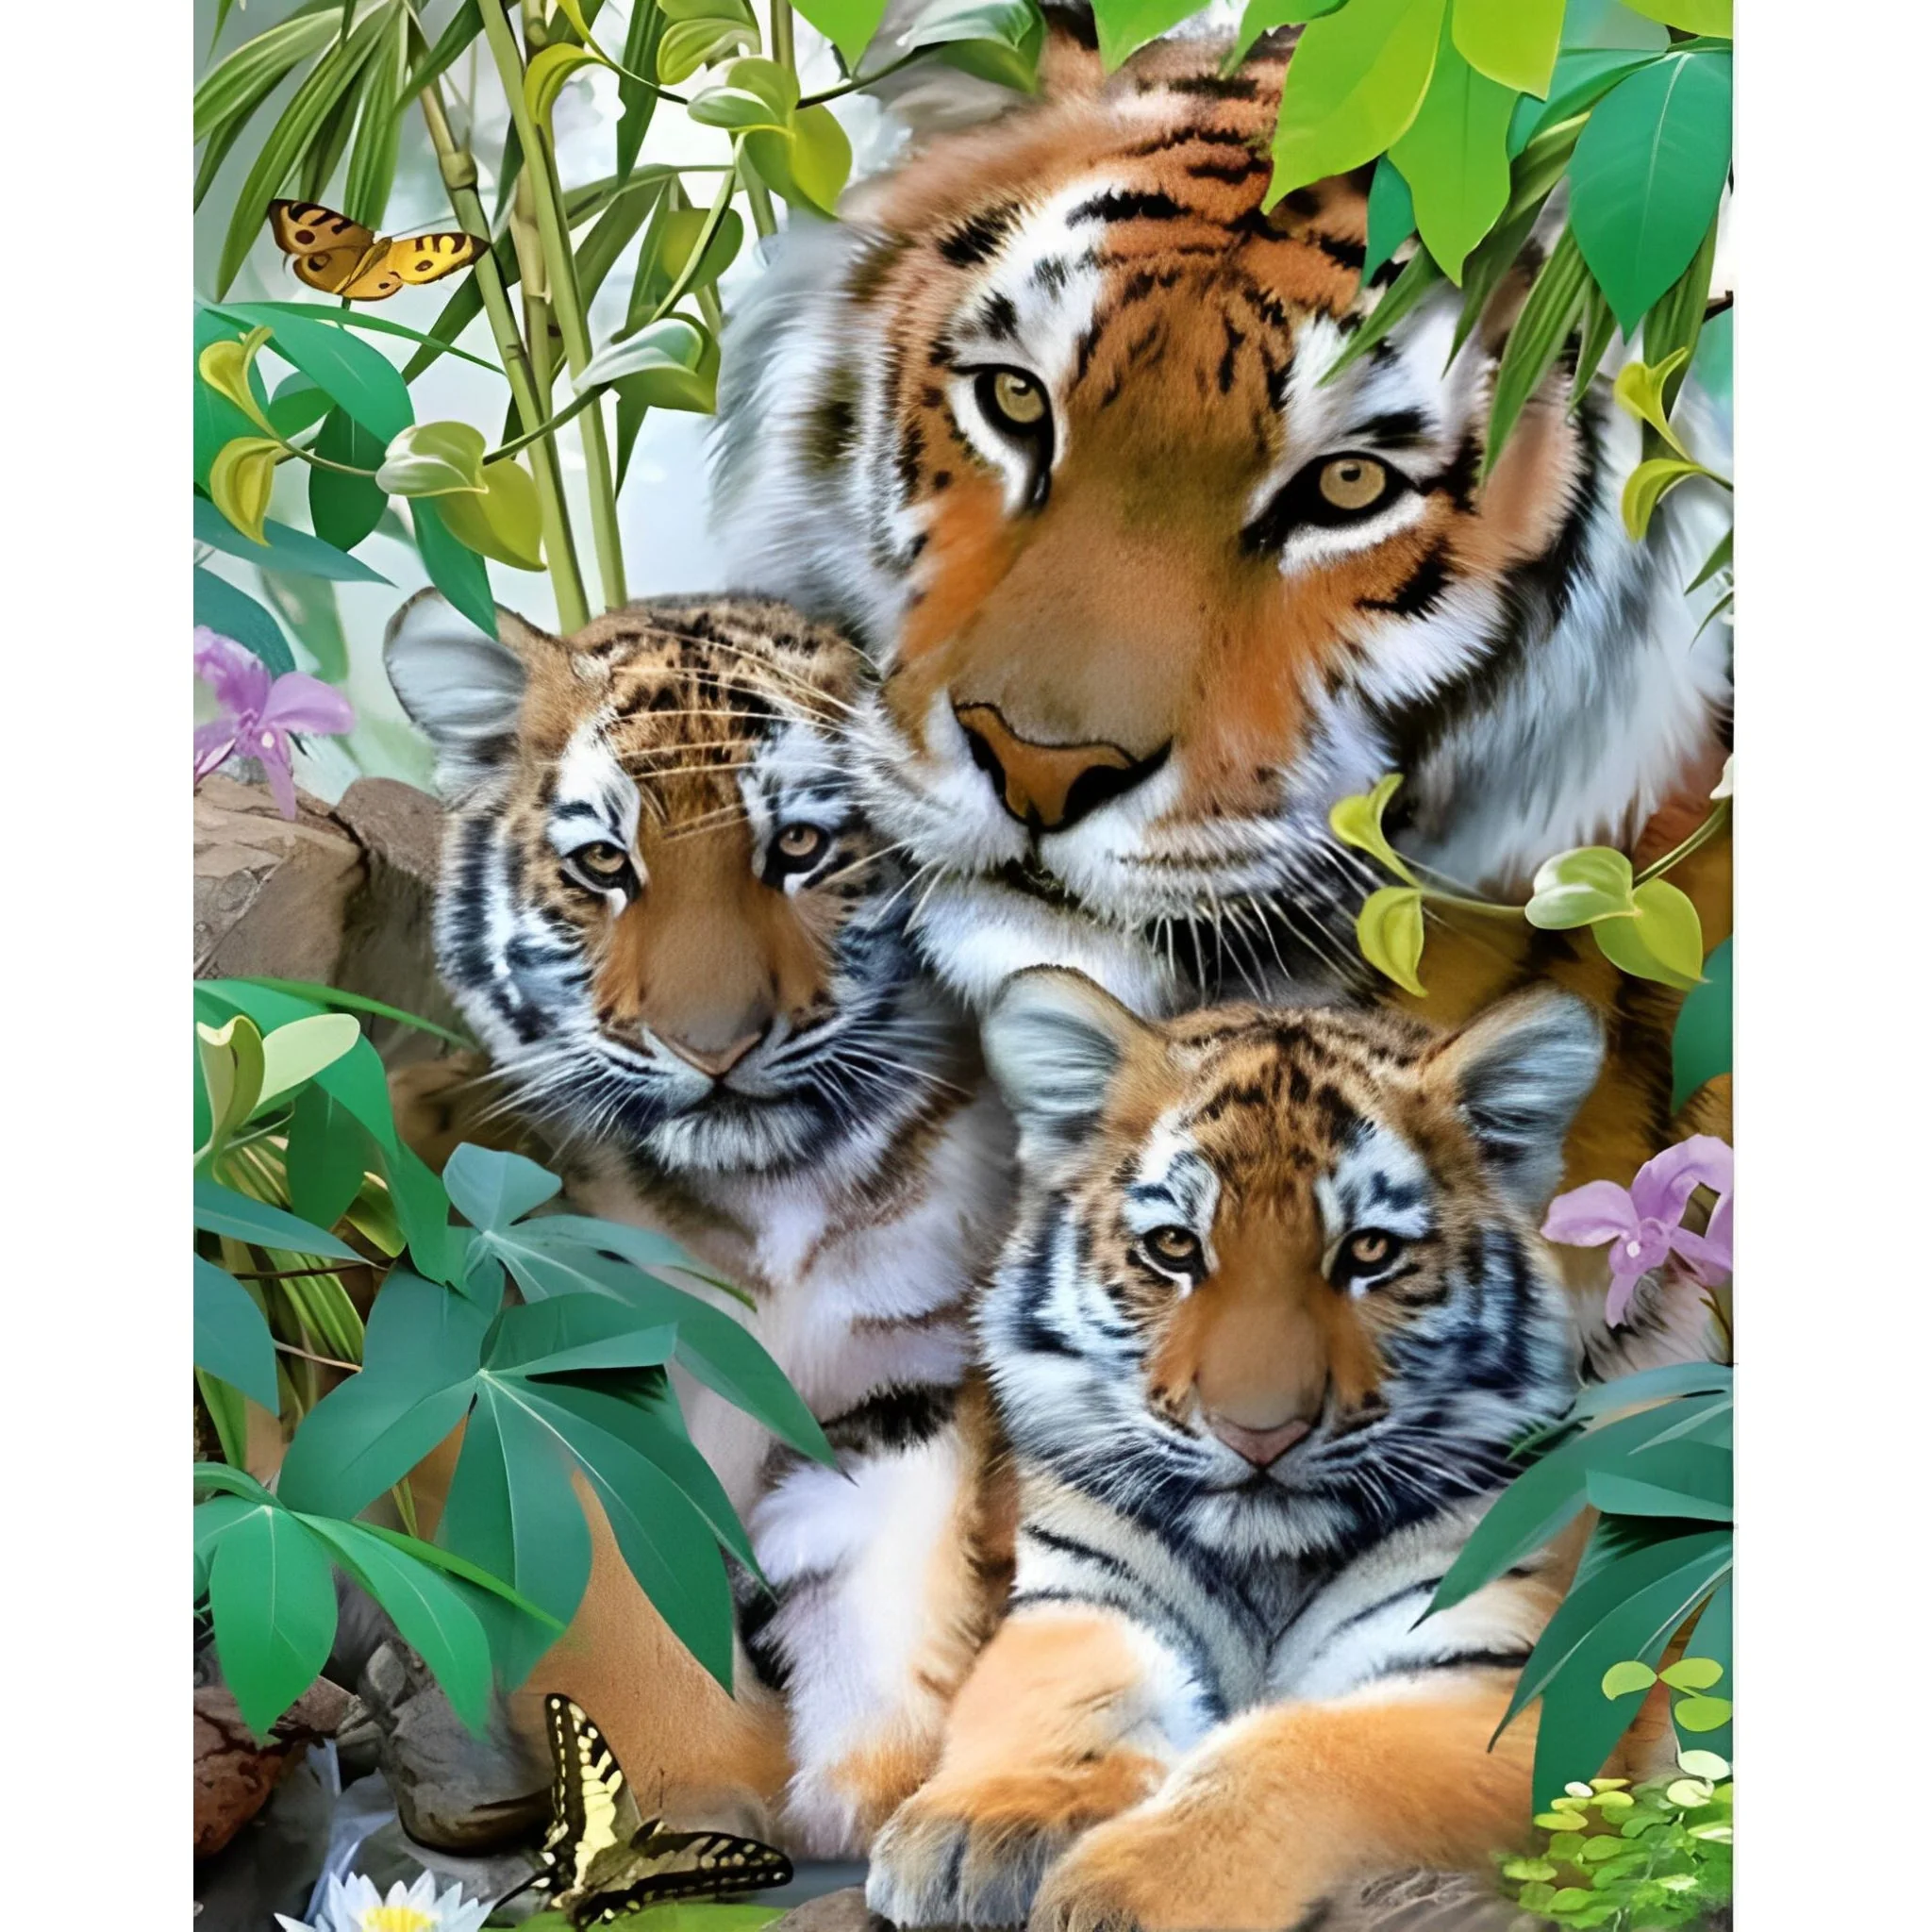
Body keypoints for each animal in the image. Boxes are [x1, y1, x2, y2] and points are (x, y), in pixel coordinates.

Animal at [383, 589, 1017, 1855]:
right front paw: (700, 1794)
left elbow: (882, 1575)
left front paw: (872, 1784)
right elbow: (617, 1611)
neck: (764, 1194)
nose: (713, 1044)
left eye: (801, 847)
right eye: (603, 863)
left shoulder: (904, 1373)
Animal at [866, 966, 1611, 1931]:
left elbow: (1298, 1749)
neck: (1266, 1563)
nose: (1260, 1431)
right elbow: (1061, 1698)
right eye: (1175, 1247)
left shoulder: (1491, 1677)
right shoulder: (1083, 1598)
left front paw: (1126, 1893)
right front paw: (978, 1828)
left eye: (1369, 1251)